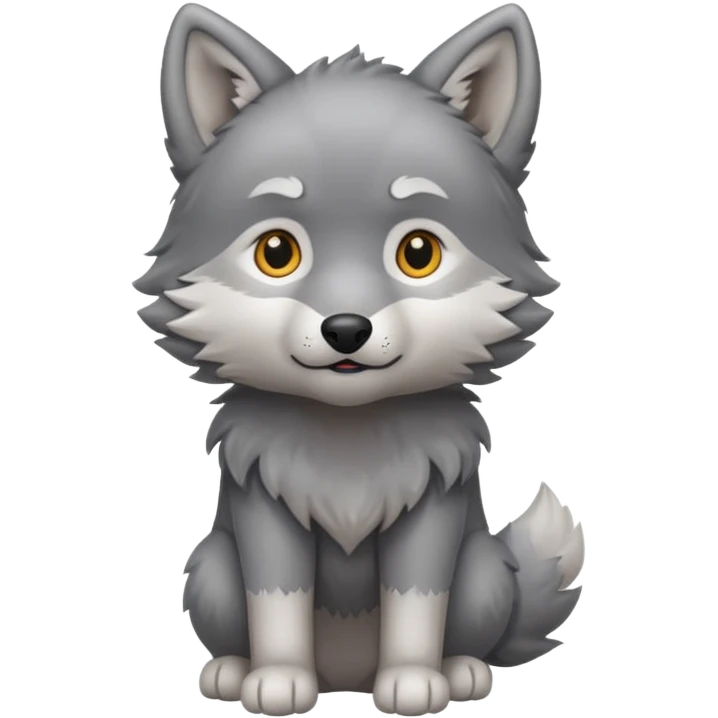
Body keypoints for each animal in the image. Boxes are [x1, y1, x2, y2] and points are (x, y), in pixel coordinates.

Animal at [138, 2, 584, 714]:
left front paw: (414, 680)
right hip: (207, 569)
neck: (348, 444)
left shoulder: (432, 510)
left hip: (485, 572)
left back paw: (462, 670)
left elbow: (417, 603)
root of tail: (344, 676)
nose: (345, 329)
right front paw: (277, 678)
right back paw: (231, 671)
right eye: (276, 252)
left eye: (419, 252)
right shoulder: (265, 510)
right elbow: (277, 601)